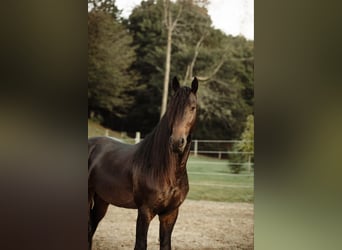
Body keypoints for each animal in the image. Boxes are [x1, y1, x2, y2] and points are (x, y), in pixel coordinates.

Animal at [89, 77, 198, 249]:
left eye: (193, 107)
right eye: (172, 107)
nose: (176, 142)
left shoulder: (170, 214)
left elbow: (165, 244)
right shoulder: (145, 211)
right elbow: (141, 244)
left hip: (101, 200)